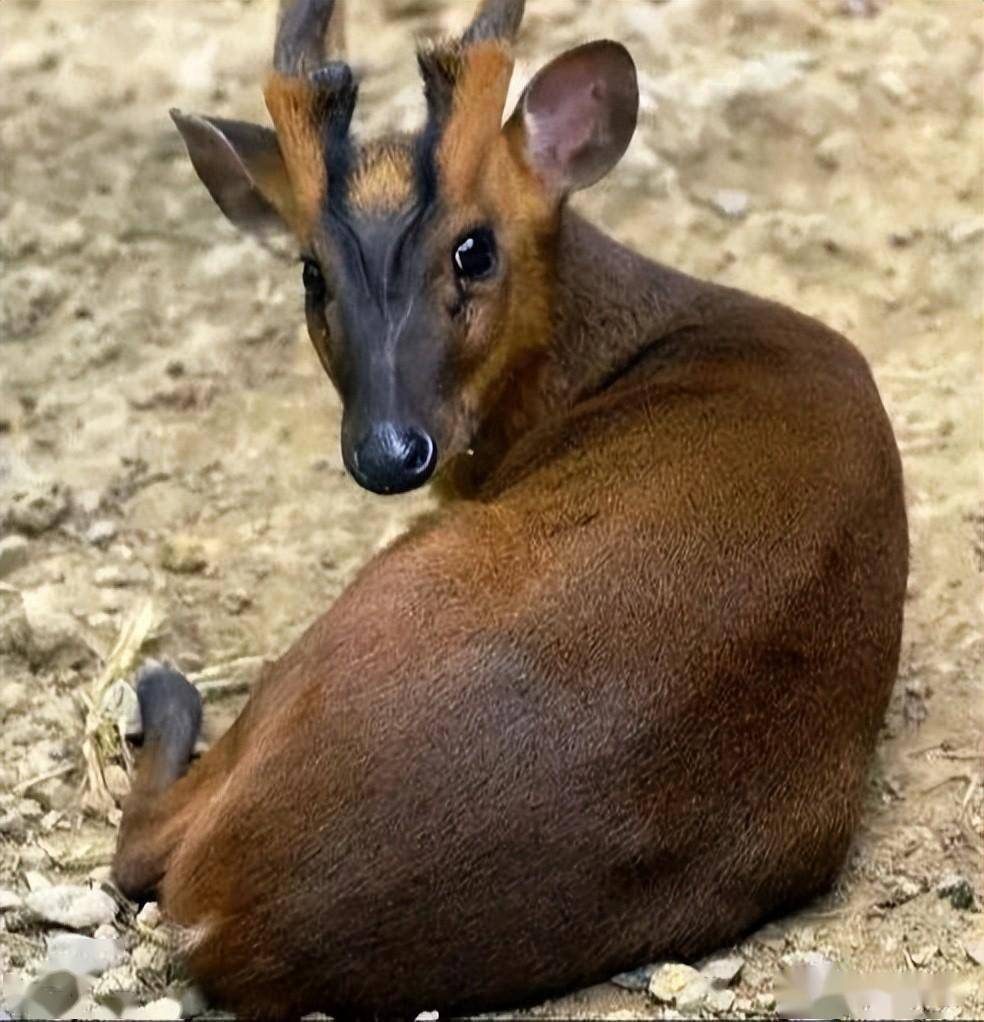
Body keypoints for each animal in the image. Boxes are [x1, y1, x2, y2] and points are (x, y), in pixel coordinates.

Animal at [113, 1, 907, 1013]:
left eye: (474, 247)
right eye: (310, 273)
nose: (388, 450)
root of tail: (238, 921)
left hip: (376, 599)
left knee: (143, 850)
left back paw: (164, 689)